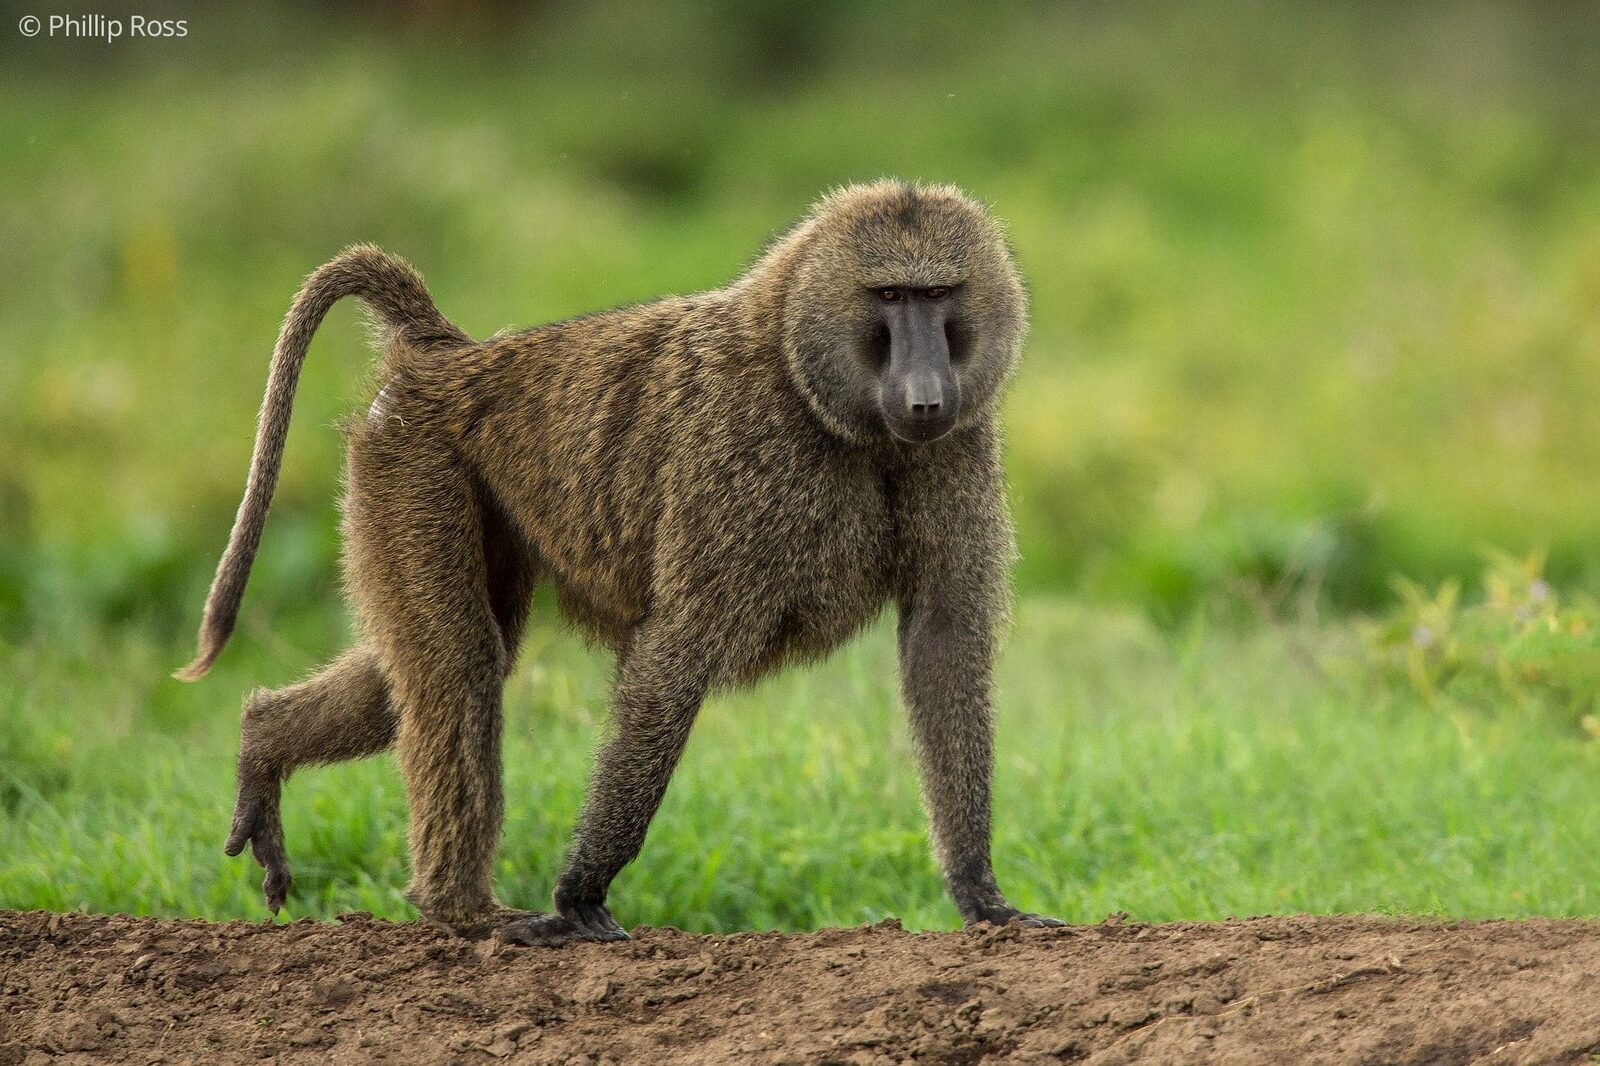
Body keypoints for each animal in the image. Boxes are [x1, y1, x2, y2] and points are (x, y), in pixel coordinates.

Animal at [177, 179, 1062, 944]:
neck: (808, 380)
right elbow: (677, 654)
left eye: (940, 295)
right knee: (459, 662)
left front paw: (982, 896)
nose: (926, 396)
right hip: (411, 466)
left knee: (443, 661)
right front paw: (579, 897)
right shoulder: (735, 461)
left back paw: (263, 743)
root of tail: (448, 357)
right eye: (890, 299)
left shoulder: (955, 446)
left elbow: (943, 642)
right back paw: (460, 909)